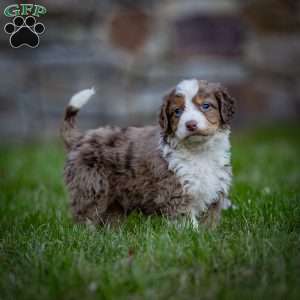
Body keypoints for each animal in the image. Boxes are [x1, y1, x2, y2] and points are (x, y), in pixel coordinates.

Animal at [60, 79, 234, 227]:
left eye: (206, 106)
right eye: (177, 111)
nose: (190, 124)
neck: (199, 152)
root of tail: (81, 137)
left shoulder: (215, 191)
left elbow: (209, 221)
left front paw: (207, 236)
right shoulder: (176, 192)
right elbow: (186, 222)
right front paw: (192, 235)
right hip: (91, 185)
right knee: (86, 214)